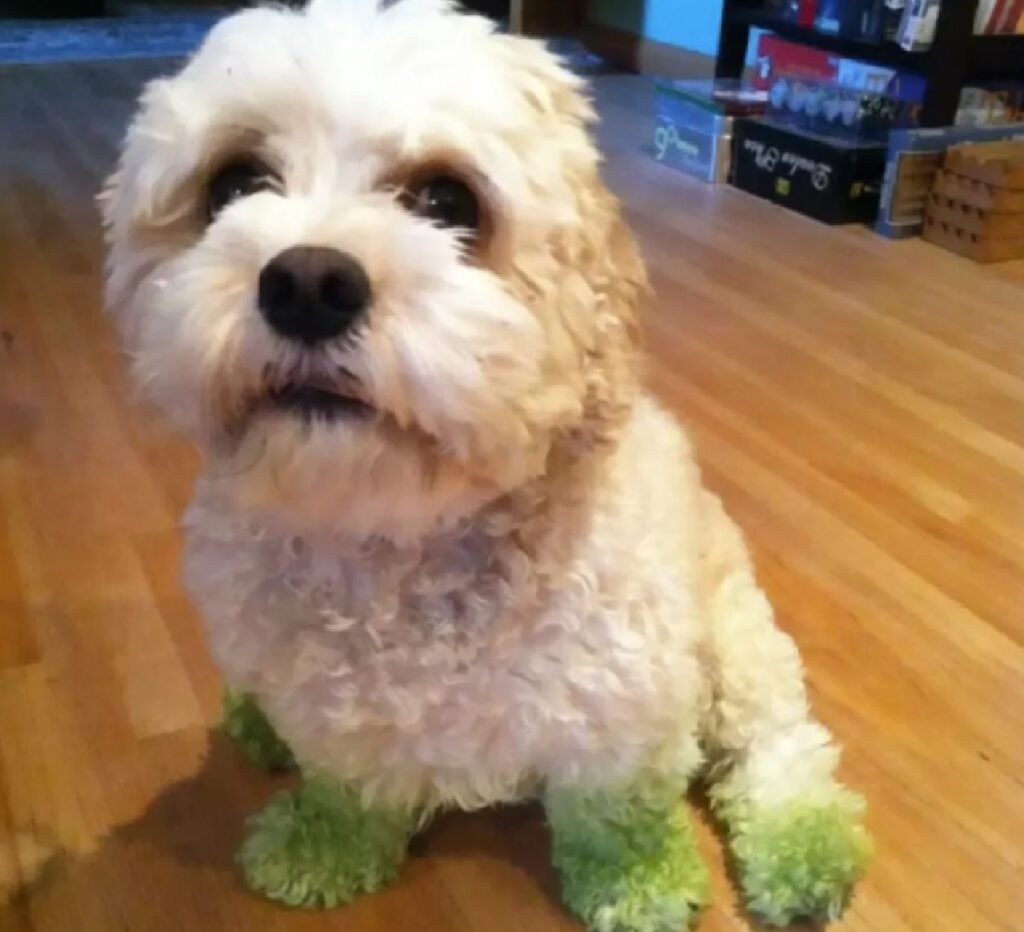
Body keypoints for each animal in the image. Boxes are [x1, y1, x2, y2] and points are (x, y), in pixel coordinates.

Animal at [101, 3, 872, 929]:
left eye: (447, 200)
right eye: (235, 184)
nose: (308, 282)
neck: (401, 547)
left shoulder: (621, 706)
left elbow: (621, 820)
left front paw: (639, 891)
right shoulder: (334, 716)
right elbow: (345, 790)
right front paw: (324, 847)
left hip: (736, 644)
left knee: (777, 744)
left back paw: (806, 846)